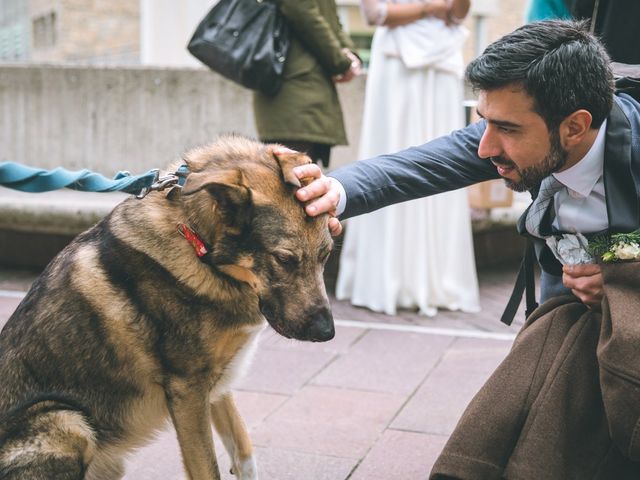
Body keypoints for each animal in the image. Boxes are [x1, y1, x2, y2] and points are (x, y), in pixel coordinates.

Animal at [0, 136, 338, 480]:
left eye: (326, 254)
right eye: (284, 259)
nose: (327, 333)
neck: (195, 240)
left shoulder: (217, 384)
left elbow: (243, 449)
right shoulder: (188, 392)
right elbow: (208, 468)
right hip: (69, 422)